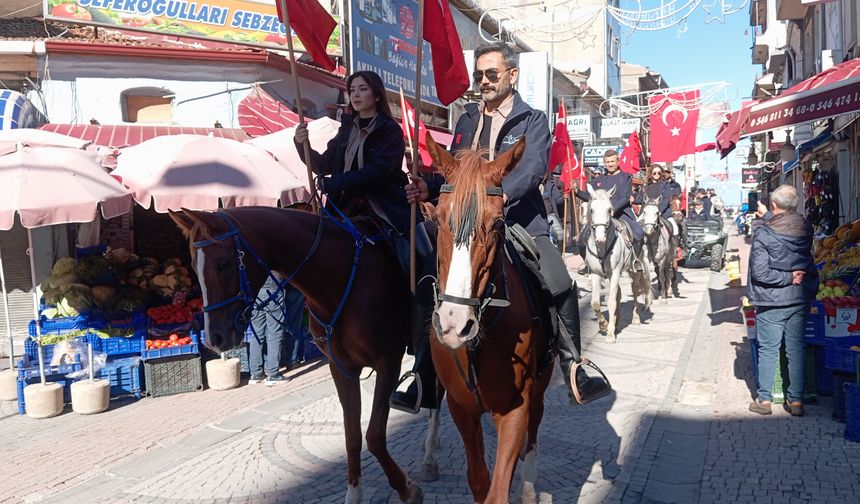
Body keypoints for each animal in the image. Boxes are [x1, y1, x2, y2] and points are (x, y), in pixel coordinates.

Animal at [168, 207, 424, 502]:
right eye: (192, 265)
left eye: (222, 263)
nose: (214, 339)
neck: (340, 282)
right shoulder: (342, 369)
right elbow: (352, 435)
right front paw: (354, 492)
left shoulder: (389, 361)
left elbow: (374, 436)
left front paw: (407, 489)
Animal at [422, 136, 552, 502]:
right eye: (438, 220)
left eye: (497, 224)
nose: (454, 325)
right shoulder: (461, 408)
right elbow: (480, 480)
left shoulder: (514, 409)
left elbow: (498, 490)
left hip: (541, 386)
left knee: (535, 427)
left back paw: (529, 487)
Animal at [584, 187, 652, 344]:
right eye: (591, 209)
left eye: (609, 209)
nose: (600, 238)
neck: (602, 248)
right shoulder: (596, 274)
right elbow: (595, 303)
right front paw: (604, 325)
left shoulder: (614, 273)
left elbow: (611, 302)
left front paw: (610, 334)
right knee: (619, 293)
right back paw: (618, 322)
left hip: (635, 270)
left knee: (635, 290)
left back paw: (635, 318)